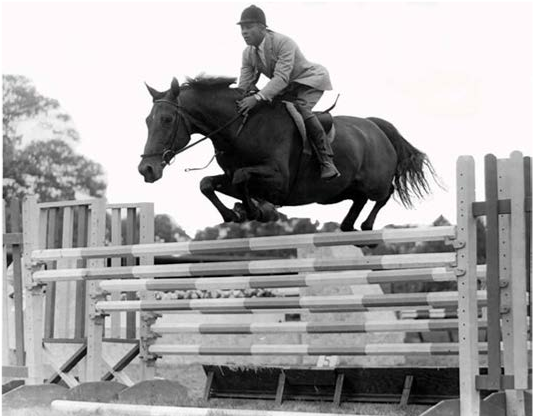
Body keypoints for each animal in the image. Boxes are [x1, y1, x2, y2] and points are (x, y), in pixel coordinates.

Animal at [137, 76, 436, 232]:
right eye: (147, 121)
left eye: (166, 120)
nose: (147, 169)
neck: (241, 128)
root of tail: (376, 126)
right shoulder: (231, 175)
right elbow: (208, 183)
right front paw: (236, 213)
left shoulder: (278, 180)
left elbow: (242, 179)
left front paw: (257, 211)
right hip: (342, 190)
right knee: (359, 199)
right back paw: (348, 225)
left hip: (374, 181)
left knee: (385, 193)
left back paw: (365, 226)